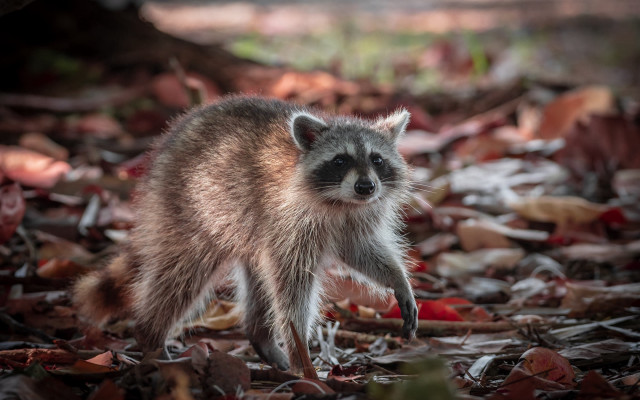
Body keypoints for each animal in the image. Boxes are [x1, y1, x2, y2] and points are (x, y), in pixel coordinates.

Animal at [73, 96, 418, 372]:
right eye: (340, 160)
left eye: (377, 159)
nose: (365, 186)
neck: (341, 203)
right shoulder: (287, 219)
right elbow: (293, 287)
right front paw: (300, 351)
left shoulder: (354, 218)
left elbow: (360, 251)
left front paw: (398, 279)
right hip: (191, 209)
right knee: (181, 276)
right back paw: (151, 335)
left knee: (258, 280)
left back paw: (260, 338)